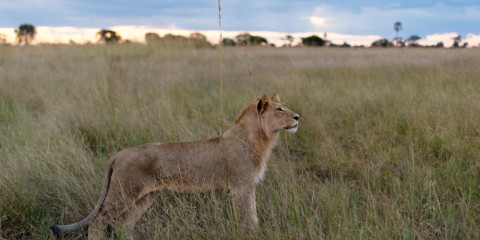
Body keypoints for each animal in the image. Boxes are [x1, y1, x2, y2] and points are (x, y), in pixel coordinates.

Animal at [52, 93, 300, 238]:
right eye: (279, 109)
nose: (297, 117)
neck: (261, 138)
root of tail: (118, 154)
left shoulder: (248, 187)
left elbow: (253, 216)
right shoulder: (240, 187)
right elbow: (247, 219)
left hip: (145, 197)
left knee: (123, 225)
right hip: (122, 194)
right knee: (97, 224)